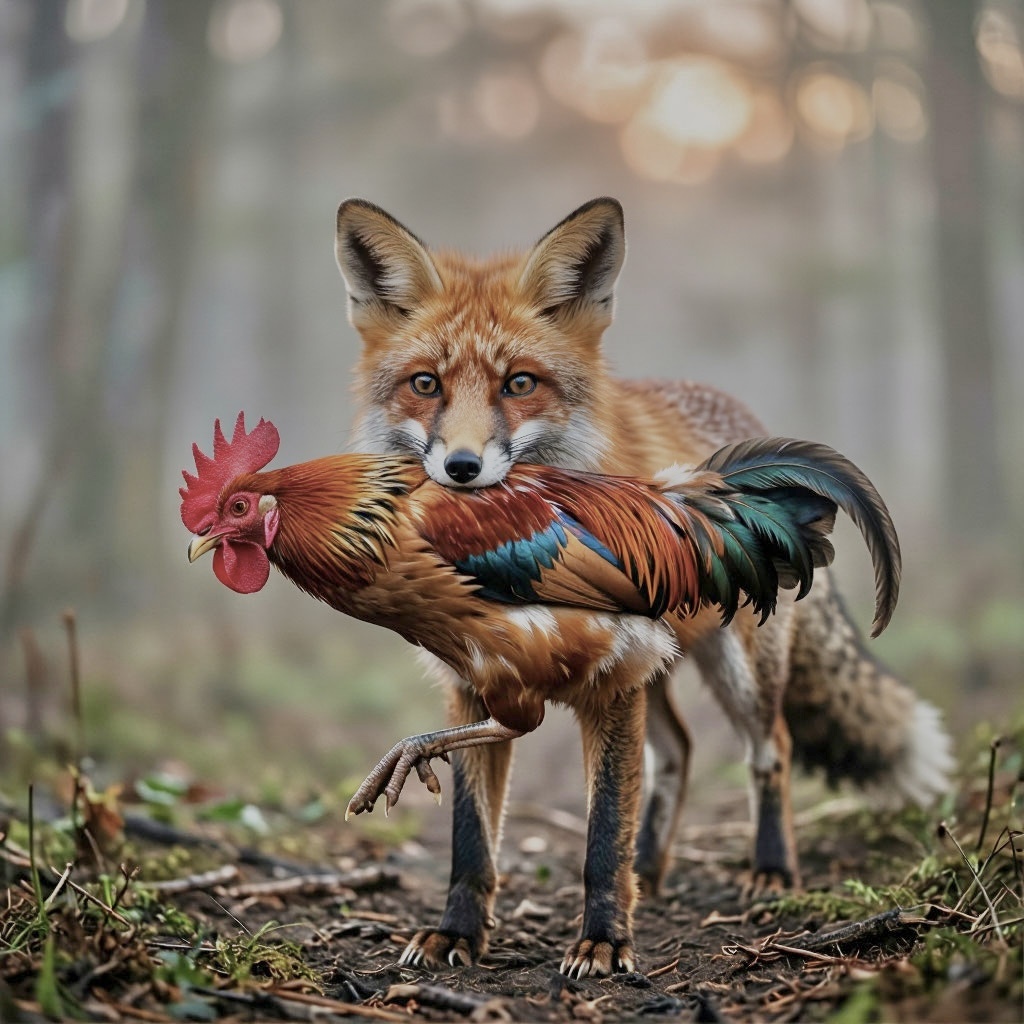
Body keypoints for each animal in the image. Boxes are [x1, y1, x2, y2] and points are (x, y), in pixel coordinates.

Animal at [333, 196, 954, 973]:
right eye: (426, 384)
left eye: (519, 383)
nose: (463, 468)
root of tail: (744, 430)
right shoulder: (474, 685)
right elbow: (472, 836)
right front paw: (459, 933)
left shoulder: (609, 684)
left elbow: (603, 829)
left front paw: (603, 940)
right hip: (655, 670)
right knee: (676, 752)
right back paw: (651, 873)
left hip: (737, 670)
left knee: (770, 750)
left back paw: (770, 869)